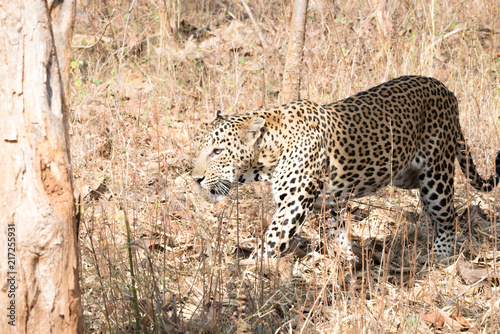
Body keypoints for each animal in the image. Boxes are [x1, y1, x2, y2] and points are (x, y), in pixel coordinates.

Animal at [191, 75, 500, 258]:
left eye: (217, 151)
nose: (195, 179)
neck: (269, 154)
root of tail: (447, 91)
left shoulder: (293, 206)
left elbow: (270, 242)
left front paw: (251, 276)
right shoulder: (331, 203)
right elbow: (337, 233)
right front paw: (346, 265)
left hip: (437, 172)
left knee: (448, 214)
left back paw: (441, 253)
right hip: (406, 174)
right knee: (427, 204)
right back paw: (422, 231)